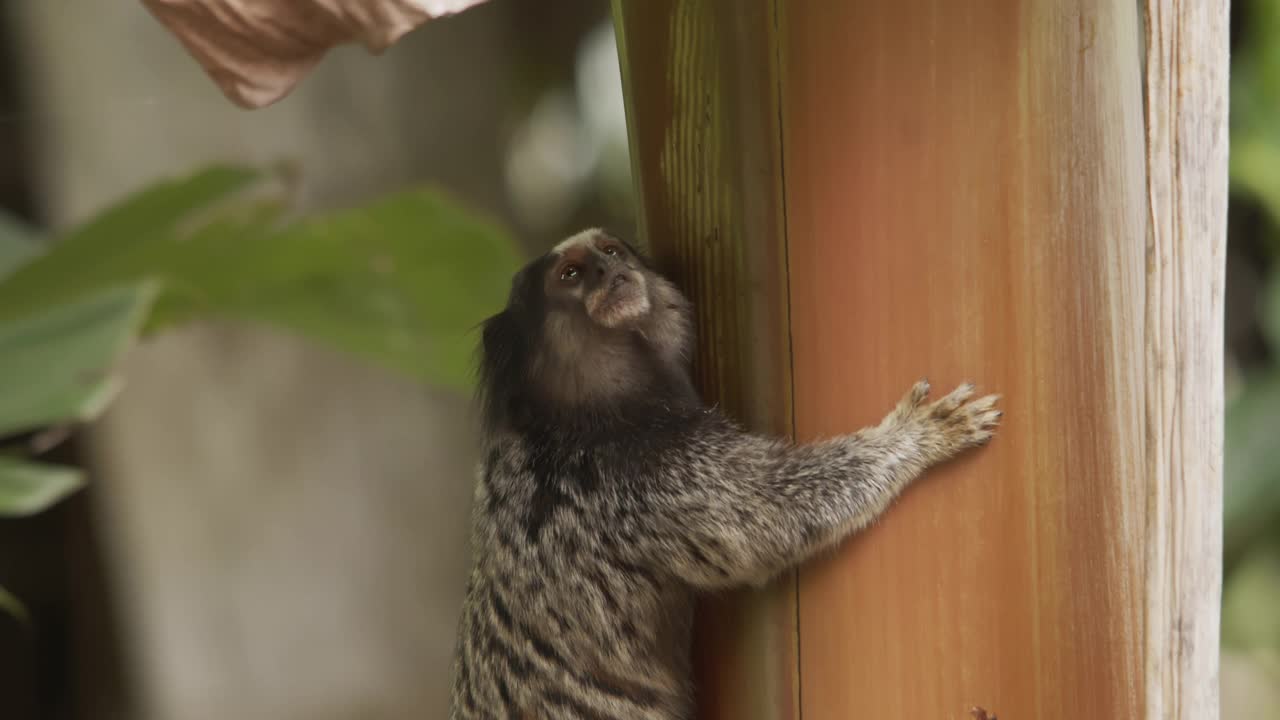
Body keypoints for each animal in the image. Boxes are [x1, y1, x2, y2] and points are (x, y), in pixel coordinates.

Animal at [450, 226, 998, 712]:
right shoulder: (638, 472)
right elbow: (770, 516)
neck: (572, 413)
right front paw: (917, 436)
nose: (610, 270)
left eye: (610, 250)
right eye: (571, 274)